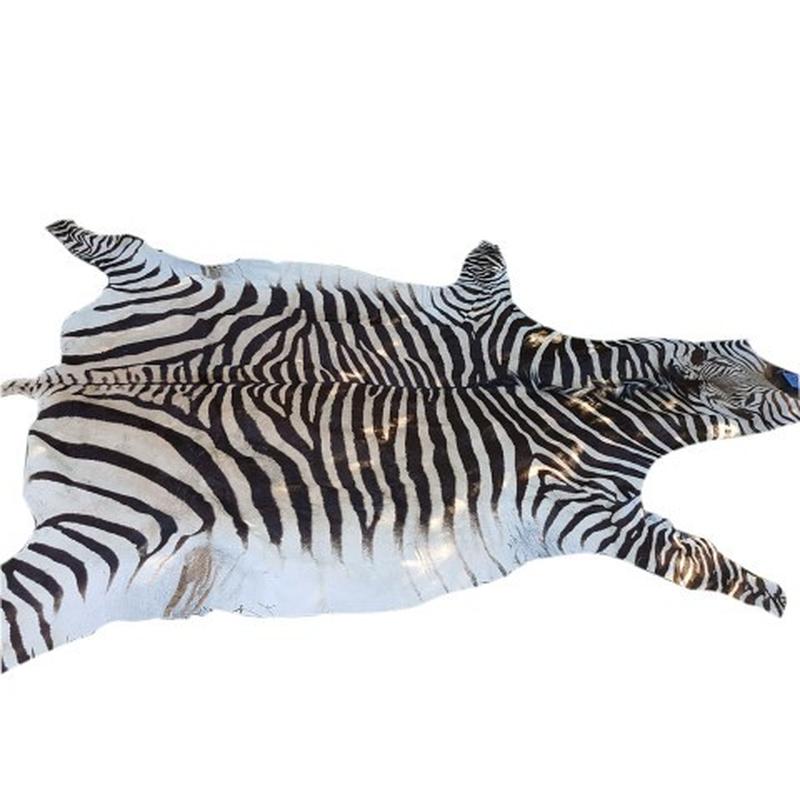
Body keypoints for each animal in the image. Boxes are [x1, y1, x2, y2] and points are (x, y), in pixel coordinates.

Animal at [1, 219, 797, 671]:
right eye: (753, 356)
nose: (793, 379)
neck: (603, 413)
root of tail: (75, 376)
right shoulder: (582, 494)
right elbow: (703, 561)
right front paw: (779, 598)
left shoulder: (587, 492)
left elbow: (699, 557)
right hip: (132, 461)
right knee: (129, 250)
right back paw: (67, 224)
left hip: (113, 513)